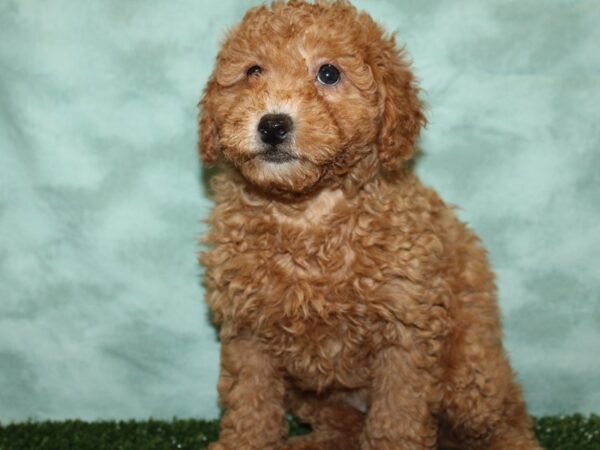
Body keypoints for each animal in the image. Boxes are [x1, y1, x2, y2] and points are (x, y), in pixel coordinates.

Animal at [199, 1, 540, 448]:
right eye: (253, 71)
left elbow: (397, 416)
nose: (273, 124)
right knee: (343, 424)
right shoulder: (247, 329)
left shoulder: (406, 334)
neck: (306, 211)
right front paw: (246, 442)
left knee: (506, 422)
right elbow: (250, 405)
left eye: (329, 73)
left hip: (471, 376)